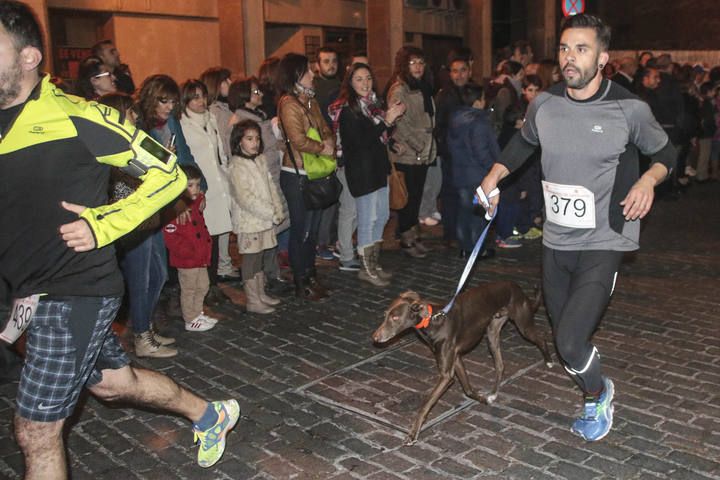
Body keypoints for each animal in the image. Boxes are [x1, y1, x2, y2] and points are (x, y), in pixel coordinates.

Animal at [374, 282, 556, 446]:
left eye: (395, 318)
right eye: (385, 315)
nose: (374, 338)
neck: (433, 321)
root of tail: (516, 287)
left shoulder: (446, 375)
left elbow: (425, 405)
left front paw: (413, 433)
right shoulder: (457, 360)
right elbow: (468, 389)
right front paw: (483, 399)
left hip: (524, 326)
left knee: (541, 339)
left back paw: (549, 361)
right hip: (492, 334)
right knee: (500, 365)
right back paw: (493, 393)